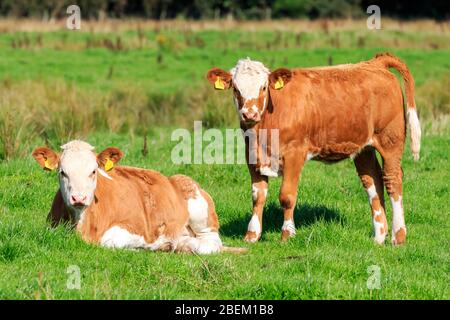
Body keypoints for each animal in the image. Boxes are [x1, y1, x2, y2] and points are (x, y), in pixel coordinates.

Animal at [32, 141, 243, 255]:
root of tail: (174, 178)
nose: (79, 198)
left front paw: (143, 247)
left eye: (93, 171)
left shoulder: (134, 227)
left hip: (200, 212)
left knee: (211, 243)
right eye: (62, 172)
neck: (82, 226)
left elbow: (111, 242)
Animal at [207, 53, 422, 246]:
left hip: (390, 140)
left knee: (392, 180)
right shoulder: (251, 154)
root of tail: (375, 63)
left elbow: (287, 196)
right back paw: (378, 237)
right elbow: (257, 196)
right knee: (373, 181)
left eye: (264, 87)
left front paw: (287, 235)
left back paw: (398, 237)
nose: (249, 114)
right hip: (363, 148)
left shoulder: (295, 153)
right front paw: (252, 236)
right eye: (236, 89)